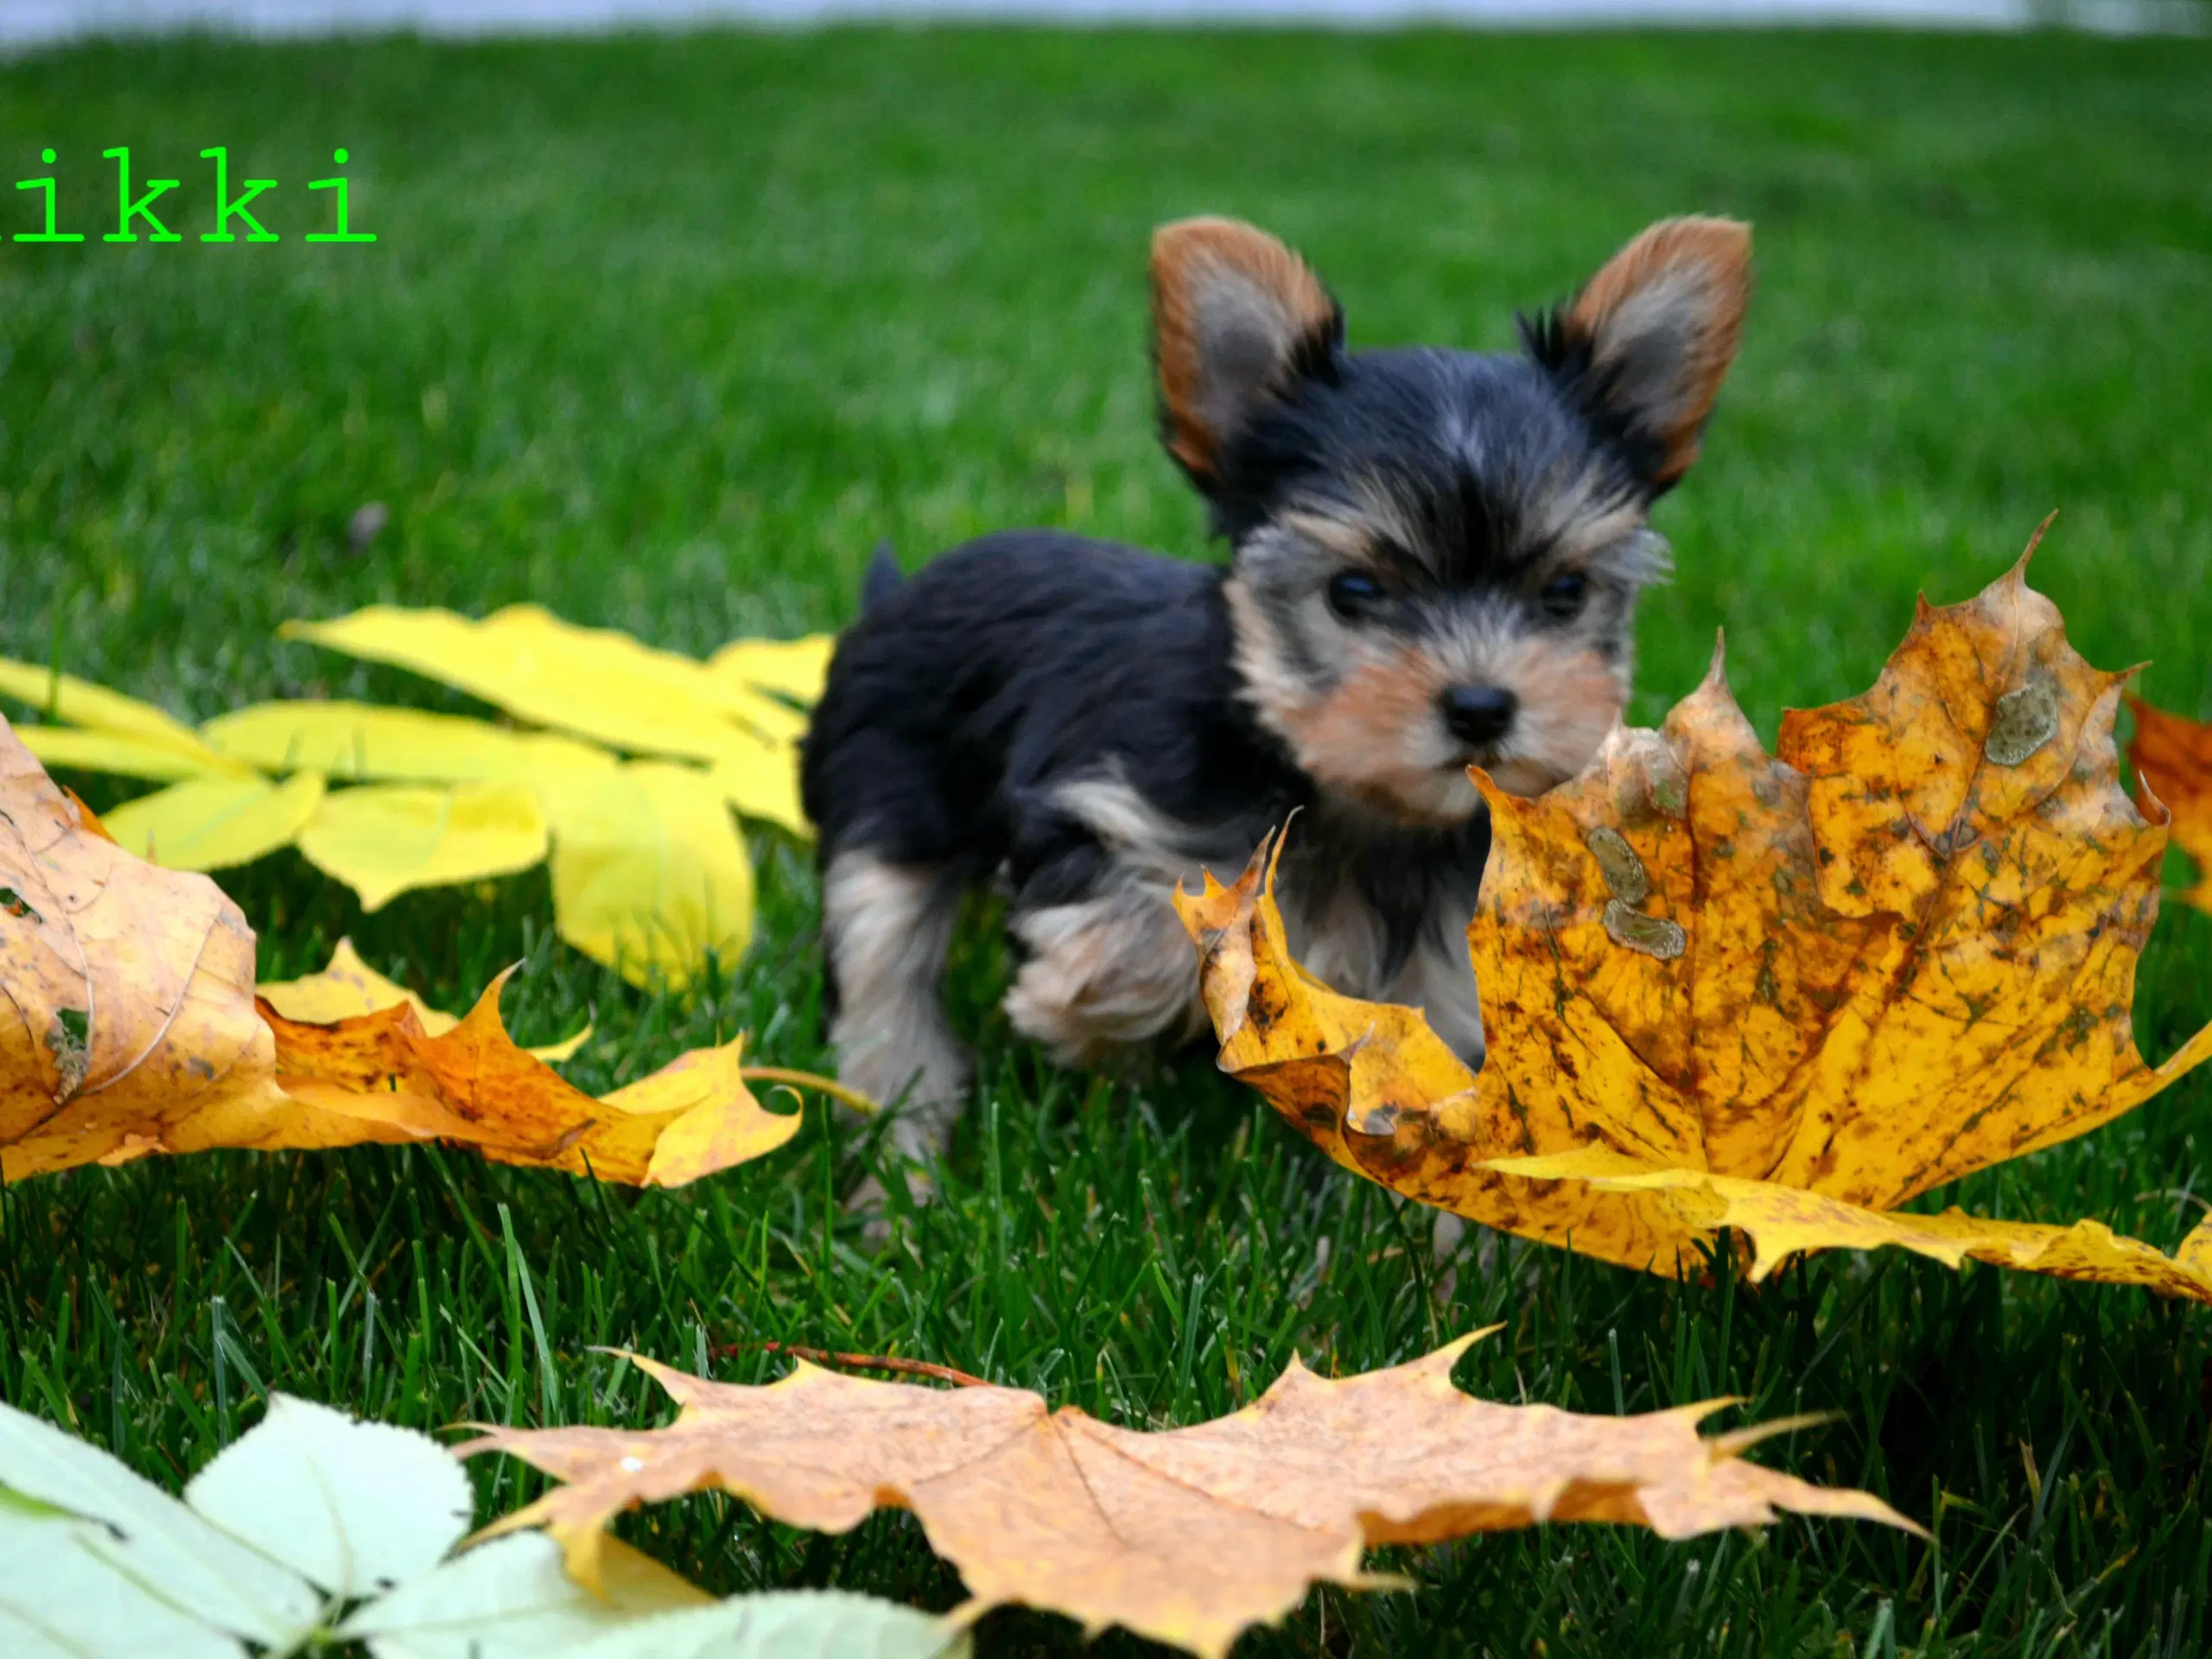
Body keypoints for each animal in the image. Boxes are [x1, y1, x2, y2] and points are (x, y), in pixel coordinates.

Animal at [804, 214, 1751, 1185]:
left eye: (1565, 592)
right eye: (1354, 592)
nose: (1483, 706)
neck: (1344, 799)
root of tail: (895, 596)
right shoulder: (1101, 803)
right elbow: (1165, 920)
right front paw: (1085, 1007)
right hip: (881, 807)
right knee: (883, 990)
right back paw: (899, 1177)